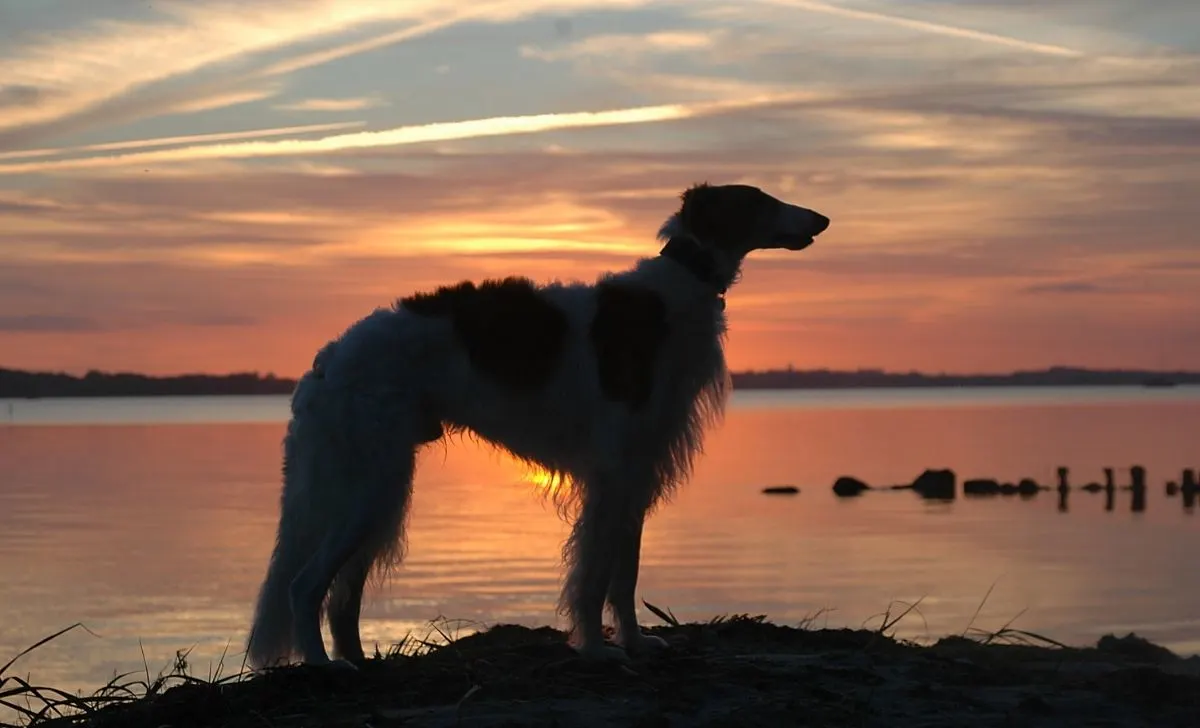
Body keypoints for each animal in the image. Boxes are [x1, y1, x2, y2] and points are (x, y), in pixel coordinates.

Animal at [243, 179, 825, 671]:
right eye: (760, 199)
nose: (822, 219)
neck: (678, 284)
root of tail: (326, 361)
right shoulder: (612, 473)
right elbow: (594, 576)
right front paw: (596, 649)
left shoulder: (637, 471)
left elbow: (625, 574)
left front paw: (637, 642)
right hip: (369, 486)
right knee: (303, 586)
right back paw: (324, 666)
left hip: (378, 491)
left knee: (340, 600)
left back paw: (360, 662)